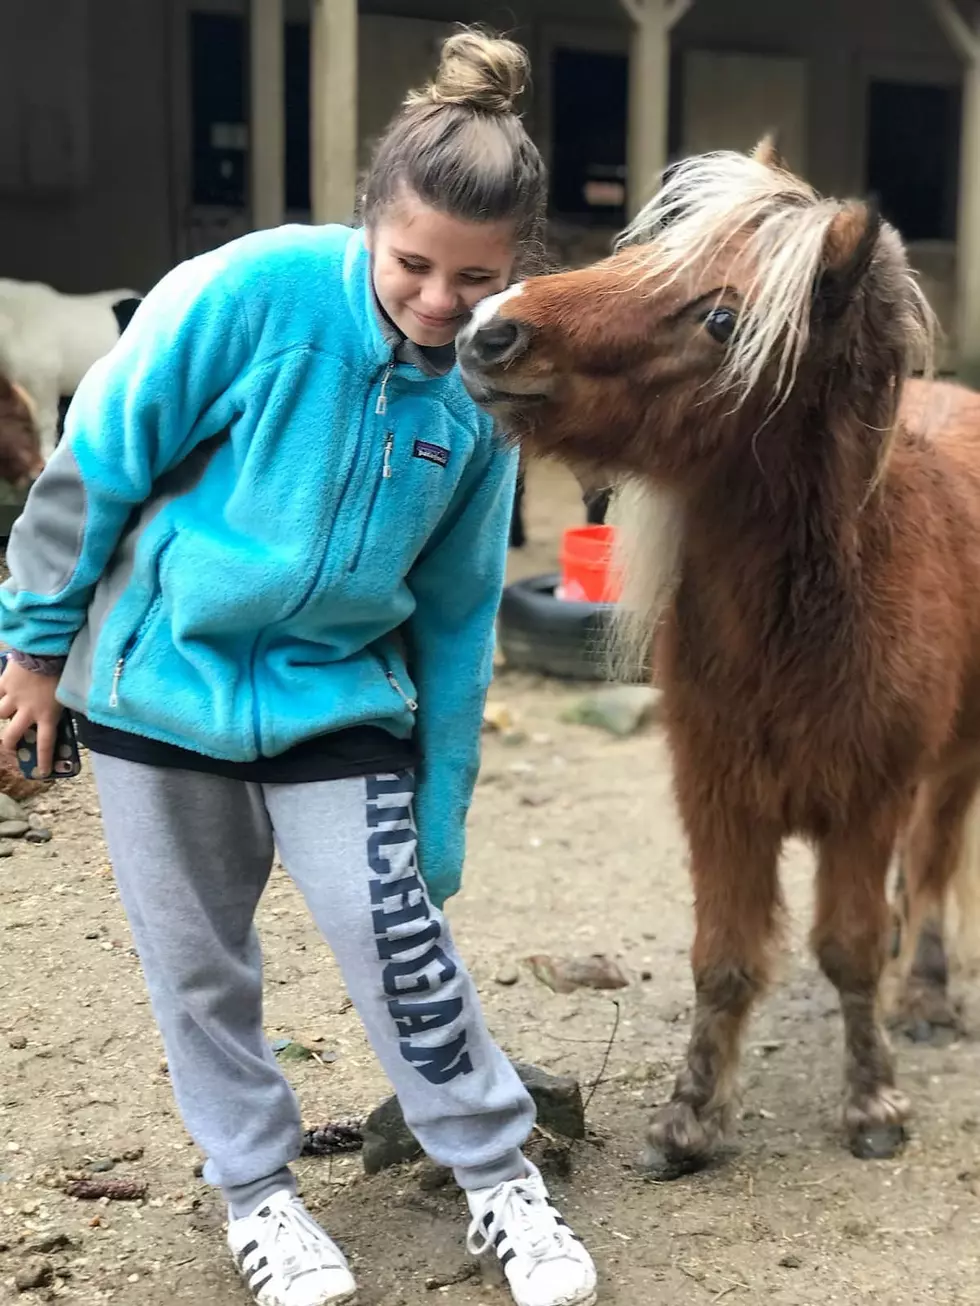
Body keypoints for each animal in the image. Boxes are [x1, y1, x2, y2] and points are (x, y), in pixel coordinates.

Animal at [459, 137, 980, 1170]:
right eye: (641, 258)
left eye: (721, 317)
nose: (490, 332)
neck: (808, 628)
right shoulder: (717, 798)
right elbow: (725, 959)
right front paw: (692, 1116)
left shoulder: (866, 800)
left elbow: (850, 948)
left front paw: (873, 1102)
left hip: (957, 761)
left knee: (937, 861)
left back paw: (930, 992)